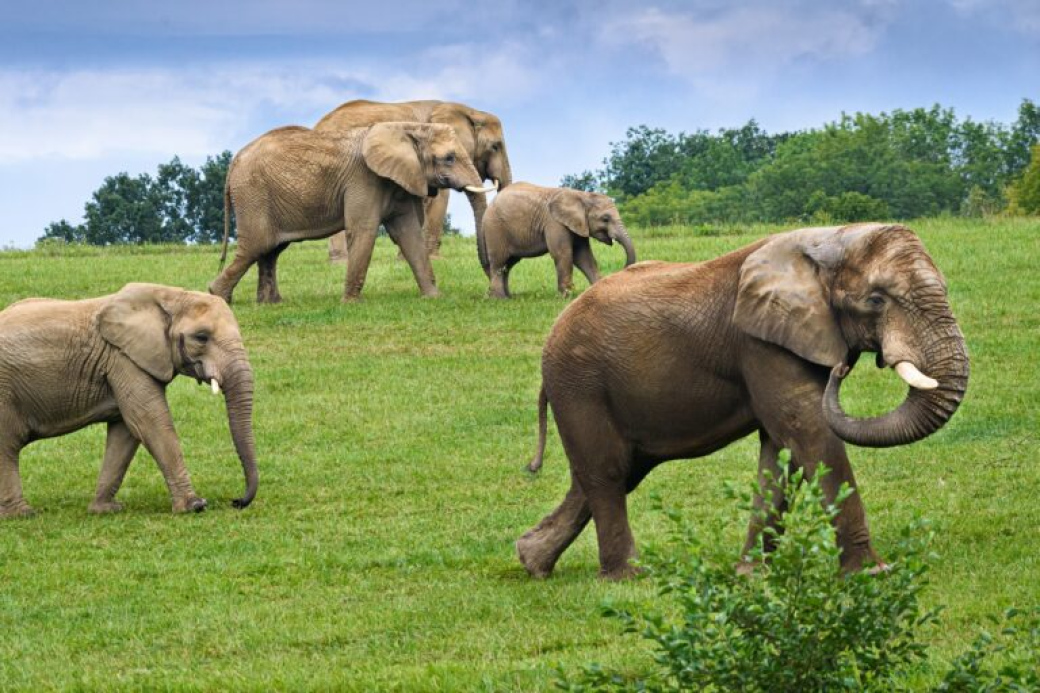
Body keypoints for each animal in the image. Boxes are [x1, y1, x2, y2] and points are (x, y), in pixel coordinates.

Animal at [0, 280, 258, 511]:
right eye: (202, 337)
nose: (236, 501)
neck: (170, 295)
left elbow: (125, 431)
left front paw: (105, 509)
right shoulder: (123, 360)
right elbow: (149, 422)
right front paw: (194, 506)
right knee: (8, 444)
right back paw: (22, 513)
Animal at [209, 120, 492, 301]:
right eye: (449, 158)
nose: (489, 286)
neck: (407, 127)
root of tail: (234, 161)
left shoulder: (397, 180)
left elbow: (409, 233)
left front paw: (434, 298)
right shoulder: (364, 180)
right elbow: (363, 230)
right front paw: (350, 303)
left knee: (270, 250)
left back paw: (271, 303)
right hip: (253, 194)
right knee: (256, 246)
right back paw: (217, 296)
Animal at [482, 181, 636, 297]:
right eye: (605, 219)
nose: (622, 270)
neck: (581, 195)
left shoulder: (578, 225)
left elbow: (584, 257)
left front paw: (599, 289)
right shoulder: (554, 223)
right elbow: (563, 254)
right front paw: (566, 296)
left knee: (508, 264)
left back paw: (508, 296)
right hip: (495, 229)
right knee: (499, 262)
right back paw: (500, 298)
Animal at [517, 222, 965, 578]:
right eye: (876, 300)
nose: (841, 370)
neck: (828, 240)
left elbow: (781, 453)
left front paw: (750, 574)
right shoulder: (759, 343)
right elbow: (808, 431)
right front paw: (872, 574)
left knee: (614, 472)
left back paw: (532, 562)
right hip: (579, 385)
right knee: (607, 473)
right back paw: (627, 577)